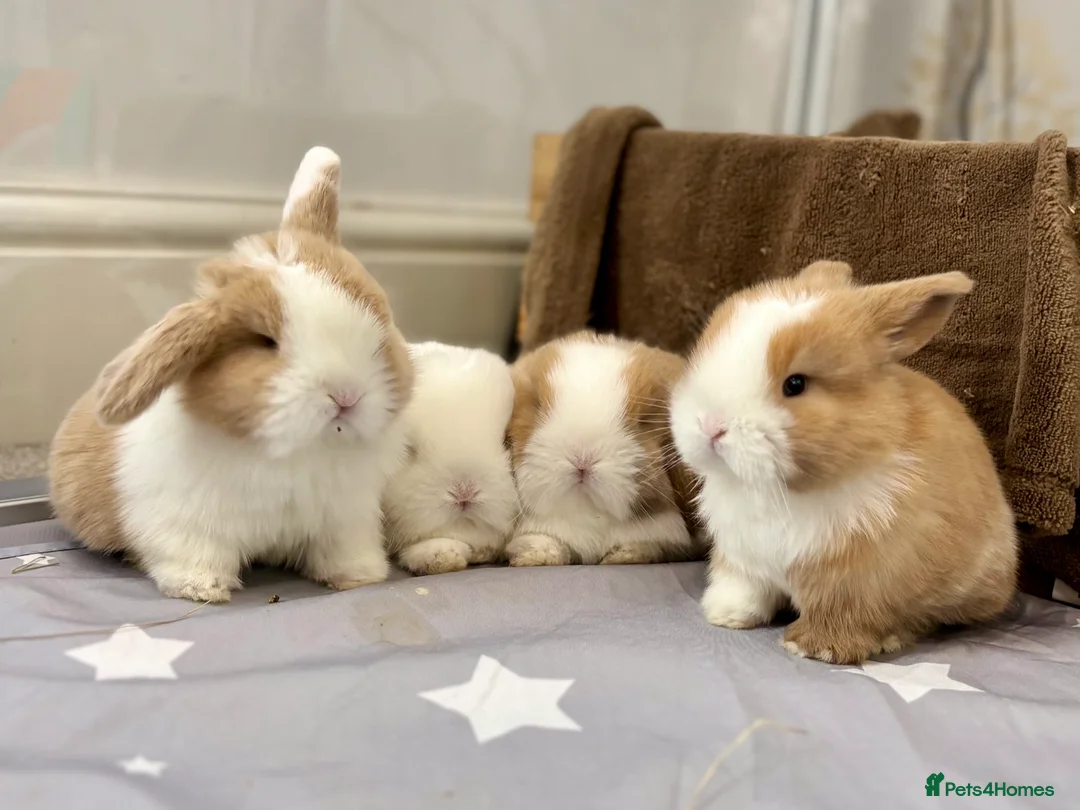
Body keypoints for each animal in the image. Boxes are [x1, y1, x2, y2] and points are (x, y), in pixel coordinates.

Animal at [48, 146, 415, 603]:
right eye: (265, 341)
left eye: (379, 322)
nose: (346, 395)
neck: (296, 453)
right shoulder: (187, 524)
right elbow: (194, 555)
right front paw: (202, 589)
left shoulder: (344, 519)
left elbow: (342, 552)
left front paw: (360, 576)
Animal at [506, 331, 704, 567]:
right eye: (537, 403)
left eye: (645, 418)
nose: (583, 460)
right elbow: (545, 541)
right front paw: (536, 557)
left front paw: (624, 556)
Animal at [670, 260, 1019, 664]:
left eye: (795, 384)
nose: (711, 426)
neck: (776, 490)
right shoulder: (741, 557)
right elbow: (745, 585)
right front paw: (726, 614)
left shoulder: (857, 577)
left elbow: (842, 609)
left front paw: (815, 647)